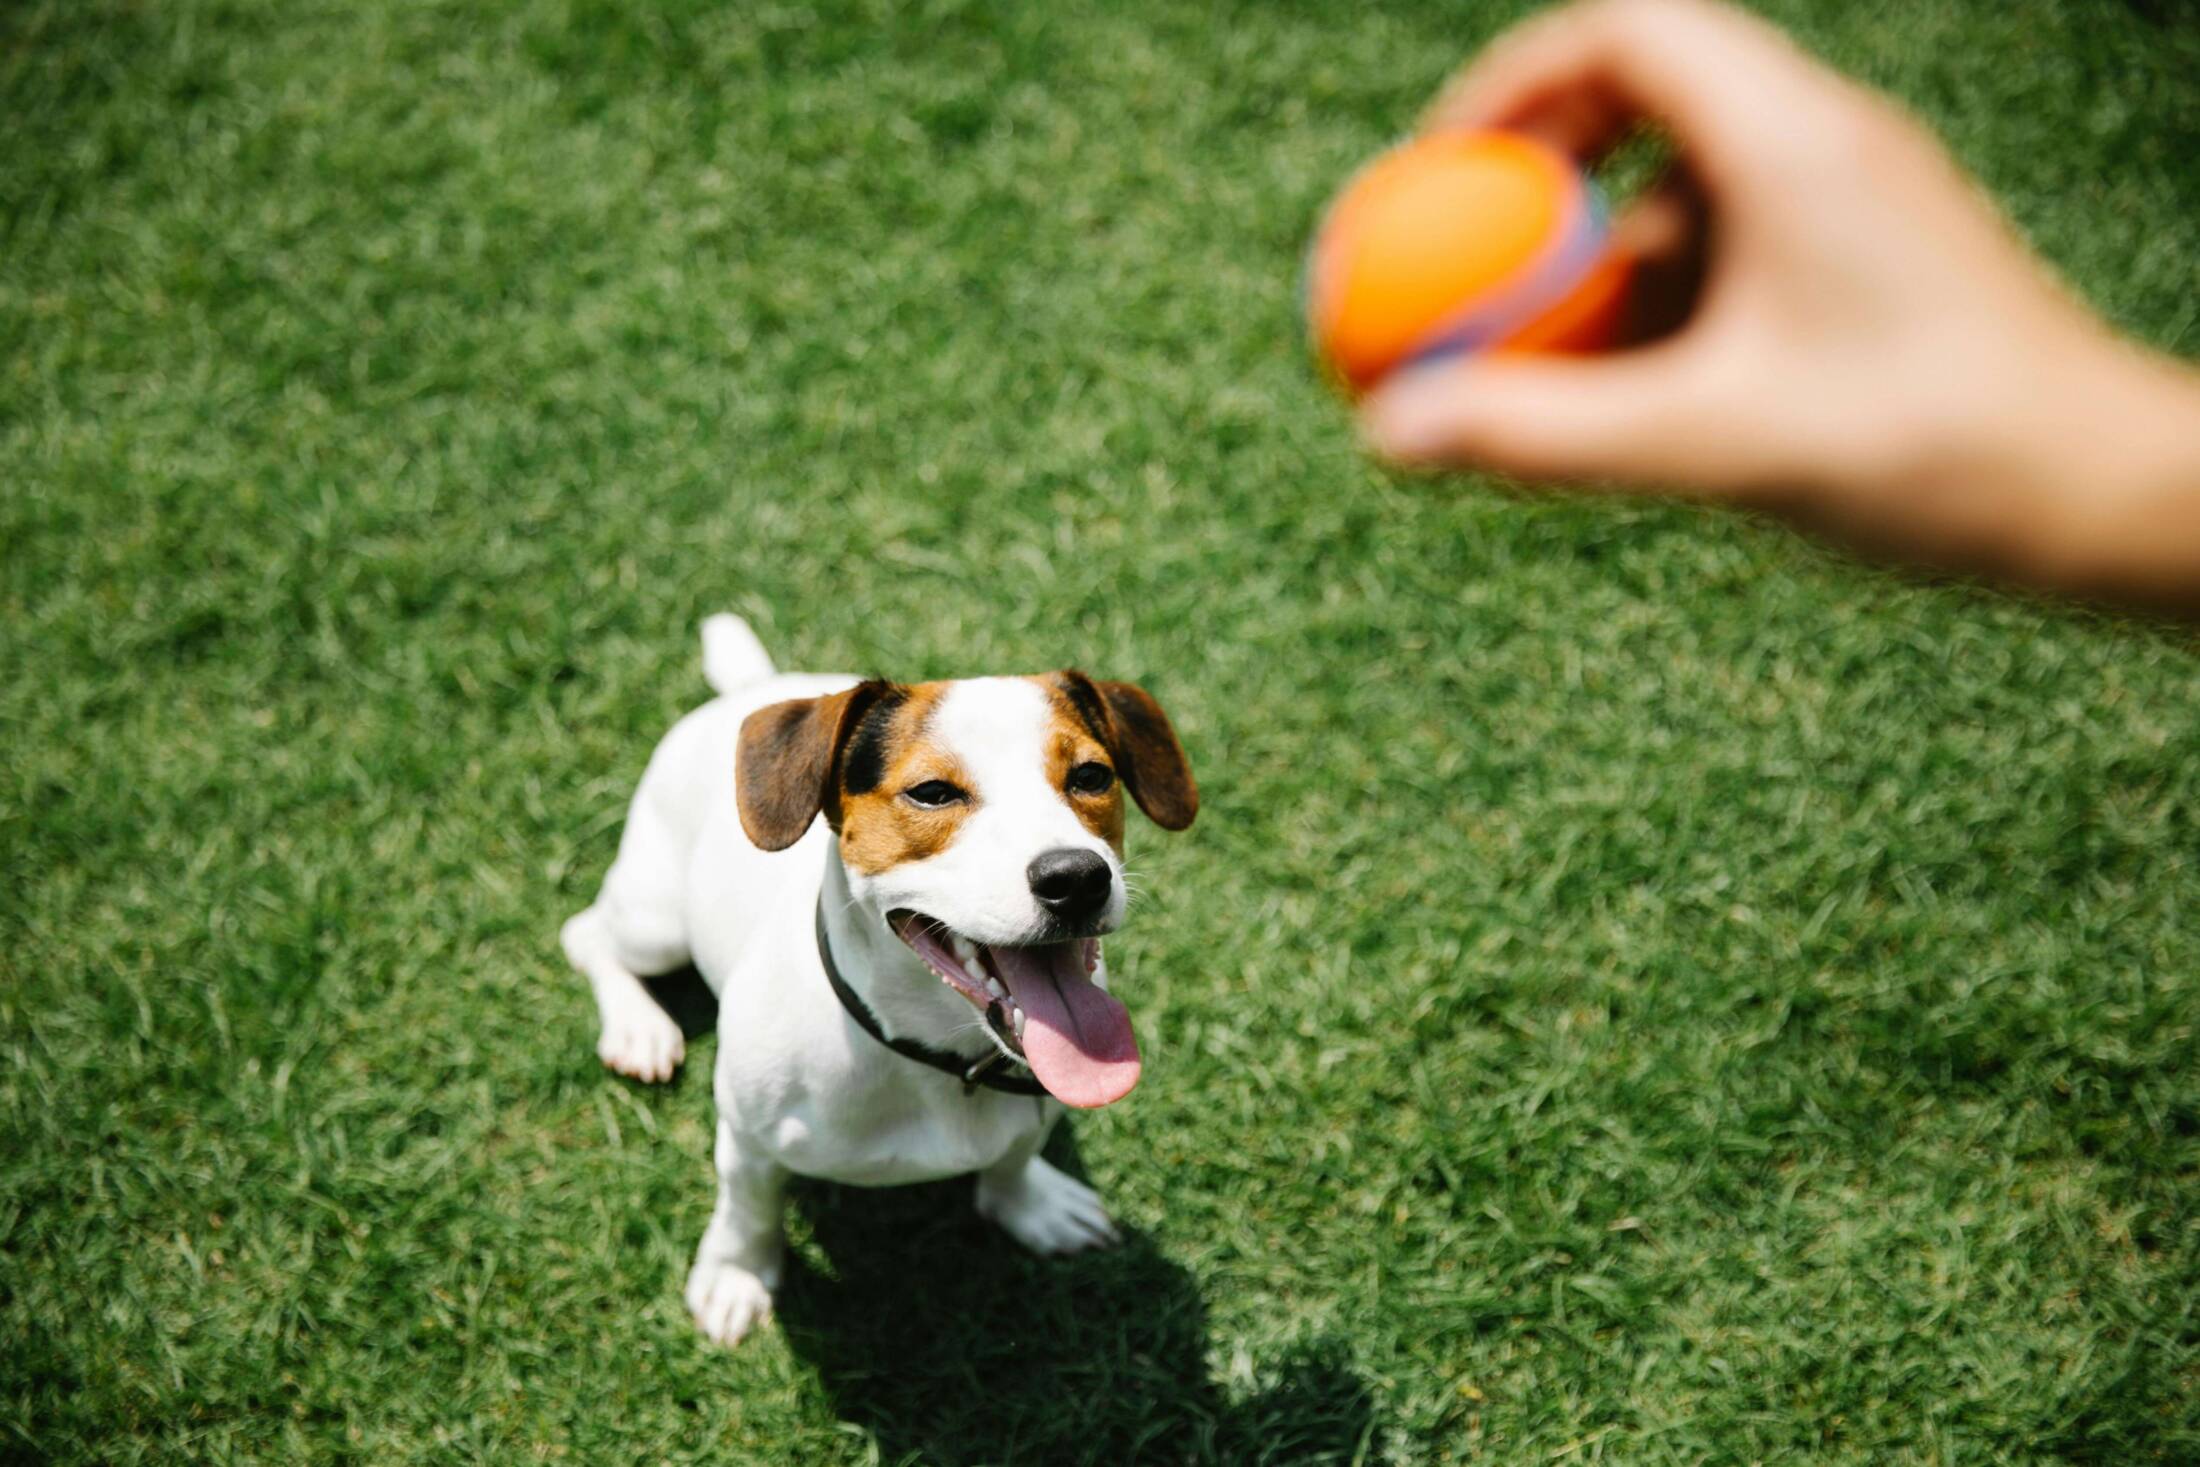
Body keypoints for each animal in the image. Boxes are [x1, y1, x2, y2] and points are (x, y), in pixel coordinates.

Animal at [558, 615, 1196, 1346]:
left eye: (1092, 775)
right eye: (932, 792)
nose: (1076, 877)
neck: (927, 1055)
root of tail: (754, 686)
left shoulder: (1033, 1110)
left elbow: (1010, 1159)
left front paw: (1032, 1204)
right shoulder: (746, 1137)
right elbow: (748, 1208)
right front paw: (736, 1273)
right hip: (656, 922)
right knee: (586, 934)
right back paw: (639, 1028)